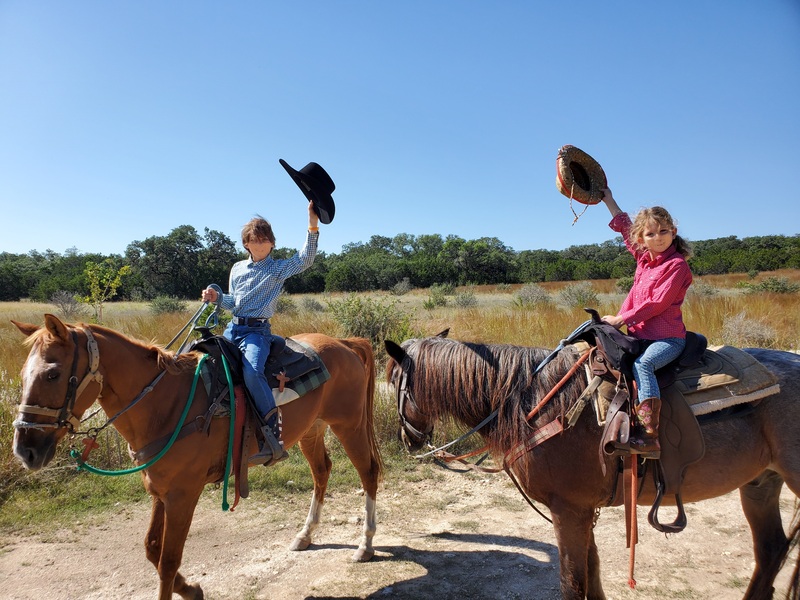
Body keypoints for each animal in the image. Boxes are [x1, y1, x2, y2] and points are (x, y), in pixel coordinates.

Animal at [14, 314, 382, 600]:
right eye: (22, 374)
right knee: (322, 472)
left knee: (368, 472)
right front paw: (191, 589)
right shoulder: (159, 491)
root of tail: (344, 343)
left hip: (349, 425)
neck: (165, 404)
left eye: (52, 374)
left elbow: (168, 561)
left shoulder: (182, 495)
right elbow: (151, 548)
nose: (25, 449)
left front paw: (184, 587)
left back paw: (365, 546)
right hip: (311, 430)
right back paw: (305, 536)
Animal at [384, 332, 800, 600]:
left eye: (393, 381)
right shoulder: (583, 511)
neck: (537, 405)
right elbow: (593, 573)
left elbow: (573, 582)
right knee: (771, 550)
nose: (408, 439)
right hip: (760, 483)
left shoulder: (568, 511)